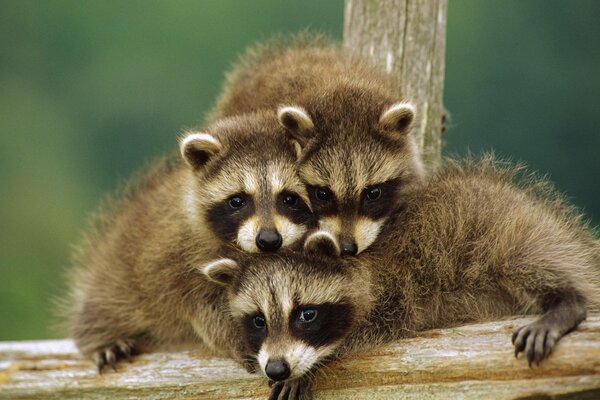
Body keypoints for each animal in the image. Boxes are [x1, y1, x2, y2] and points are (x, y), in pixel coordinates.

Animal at [67, 110, 314, 372]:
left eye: (289, 198)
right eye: (237, 200)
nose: (268, 240)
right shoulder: (179, 260)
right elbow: (206, 310)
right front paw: (242, 338)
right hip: (117, 278)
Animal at [203, 155, 600, 400]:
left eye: (306, 314)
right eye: (258, 320)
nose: (277, 368)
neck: (359, 262)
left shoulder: (397, 289)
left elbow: (363, 332)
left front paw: (312, 366)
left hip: (514, 230)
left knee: (530, 261)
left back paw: (568, 301)